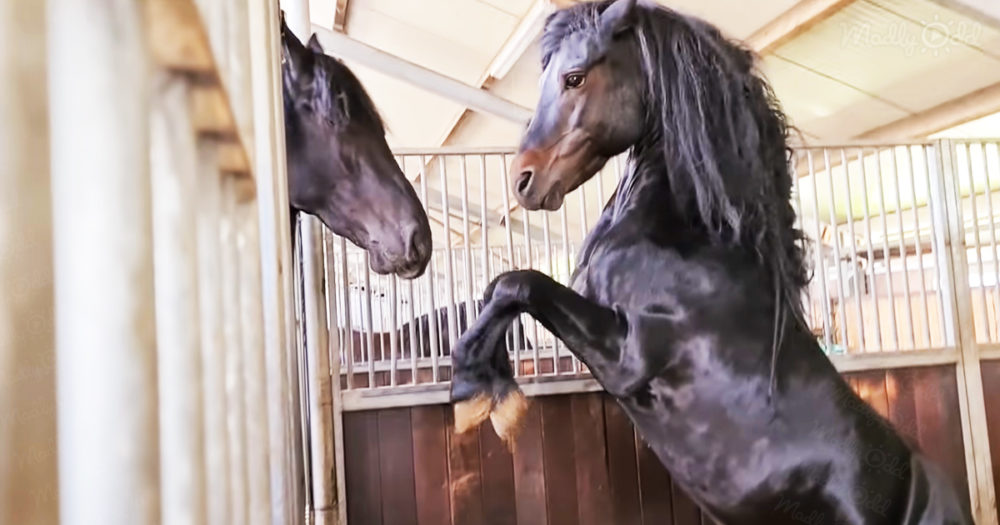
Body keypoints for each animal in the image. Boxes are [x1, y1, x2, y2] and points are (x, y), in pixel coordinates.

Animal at [448, 1, 973, 523]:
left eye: (574, 78)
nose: (523, 180)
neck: (696, 243)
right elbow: (499, 289)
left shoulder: (627, 358)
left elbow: (520, 284)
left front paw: (474, 396)